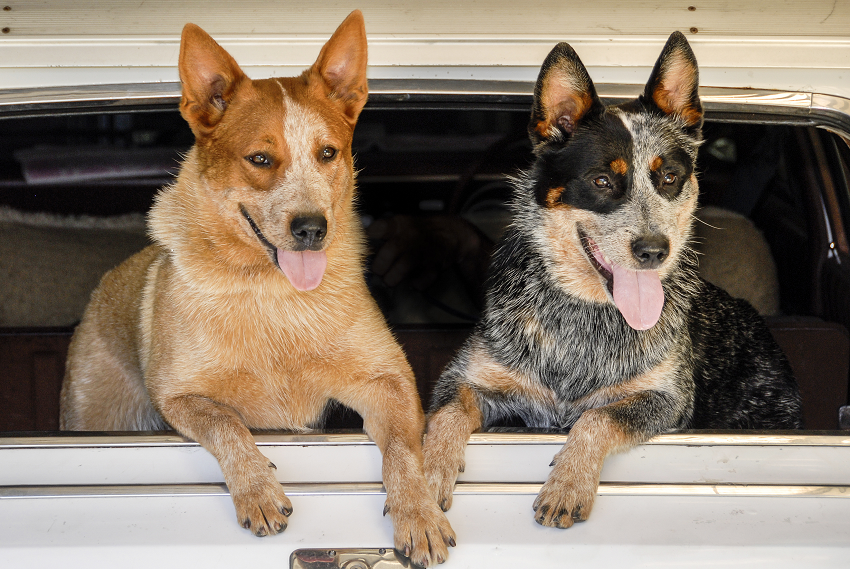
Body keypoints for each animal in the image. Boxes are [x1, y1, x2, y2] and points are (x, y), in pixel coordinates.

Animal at [58, 11, 450, 564]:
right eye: (261, 159)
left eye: (327, 153)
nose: (311, 228)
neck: (272, 294)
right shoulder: (179, 394)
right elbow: (226, 423)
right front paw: (258, 492)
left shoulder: (387, 379)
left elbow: (402, 451)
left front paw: (418, 515)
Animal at [424, 31, 800, 528]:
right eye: (602, 181)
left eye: (669, 177)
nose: (653, 250)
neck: (585, 317)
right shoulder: (467, 379)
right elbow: (445, 415)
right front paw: (425, 480)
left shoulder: (665, 399)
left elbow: (597, 418)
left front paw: (568, 484)